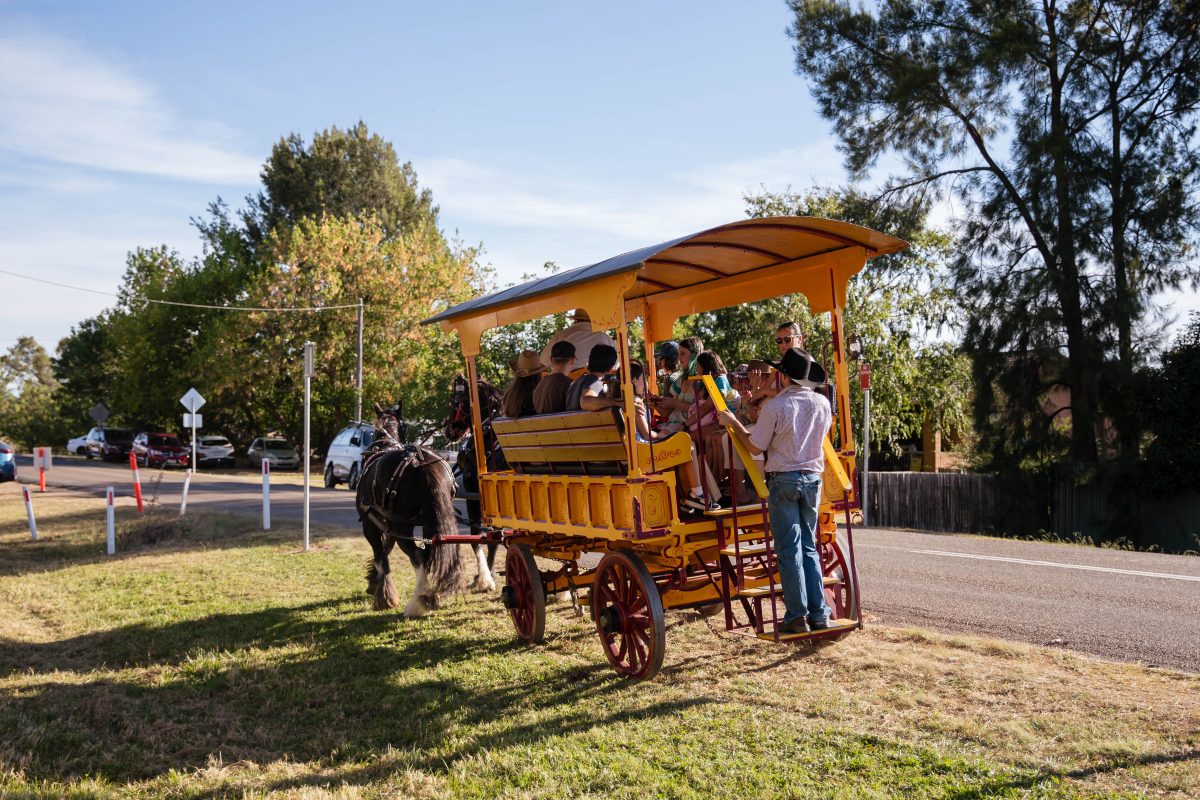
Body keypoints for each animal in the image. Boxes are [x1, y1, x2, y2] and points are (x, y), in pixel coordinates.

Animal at [352, 400, 460, 618]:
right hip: (429, 524)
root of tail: (422, 463)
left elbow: (380, 556)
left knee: (417, 555)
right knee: (427, 553)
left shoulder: (370, 524)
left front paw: (384, 596)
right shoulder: (388, 524)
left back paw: (419, 602)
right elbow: (386, 550)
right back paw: (426, 598)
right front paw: (373, 581)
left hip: (403, 527)